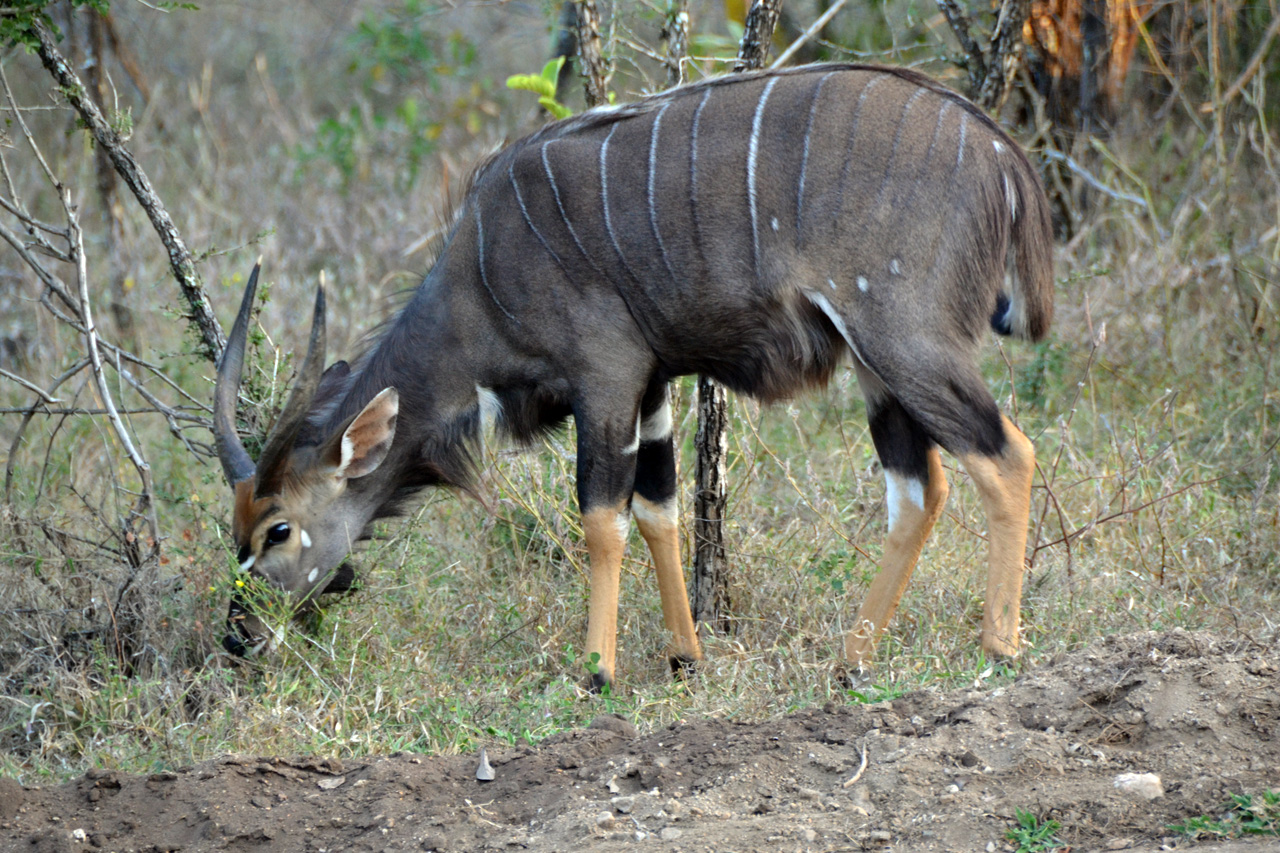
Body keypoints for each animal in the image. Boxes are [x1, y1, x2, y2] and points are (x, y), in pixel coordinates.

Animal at [215, 63, 1054, 686]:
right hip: (877, 364)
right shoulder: (653, 385)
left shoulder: (607, 375)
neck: (478, 278)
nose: (237, 634)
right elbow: (658, 507)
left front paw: (597, 668)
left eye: (276, 528)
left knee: (1006, 454)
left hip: (904, 340)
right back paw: (851, 659)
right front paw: (685, 655)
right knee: (920, 488)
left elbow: (601, 518)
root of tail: (1004, 157)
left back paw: (999, 646)